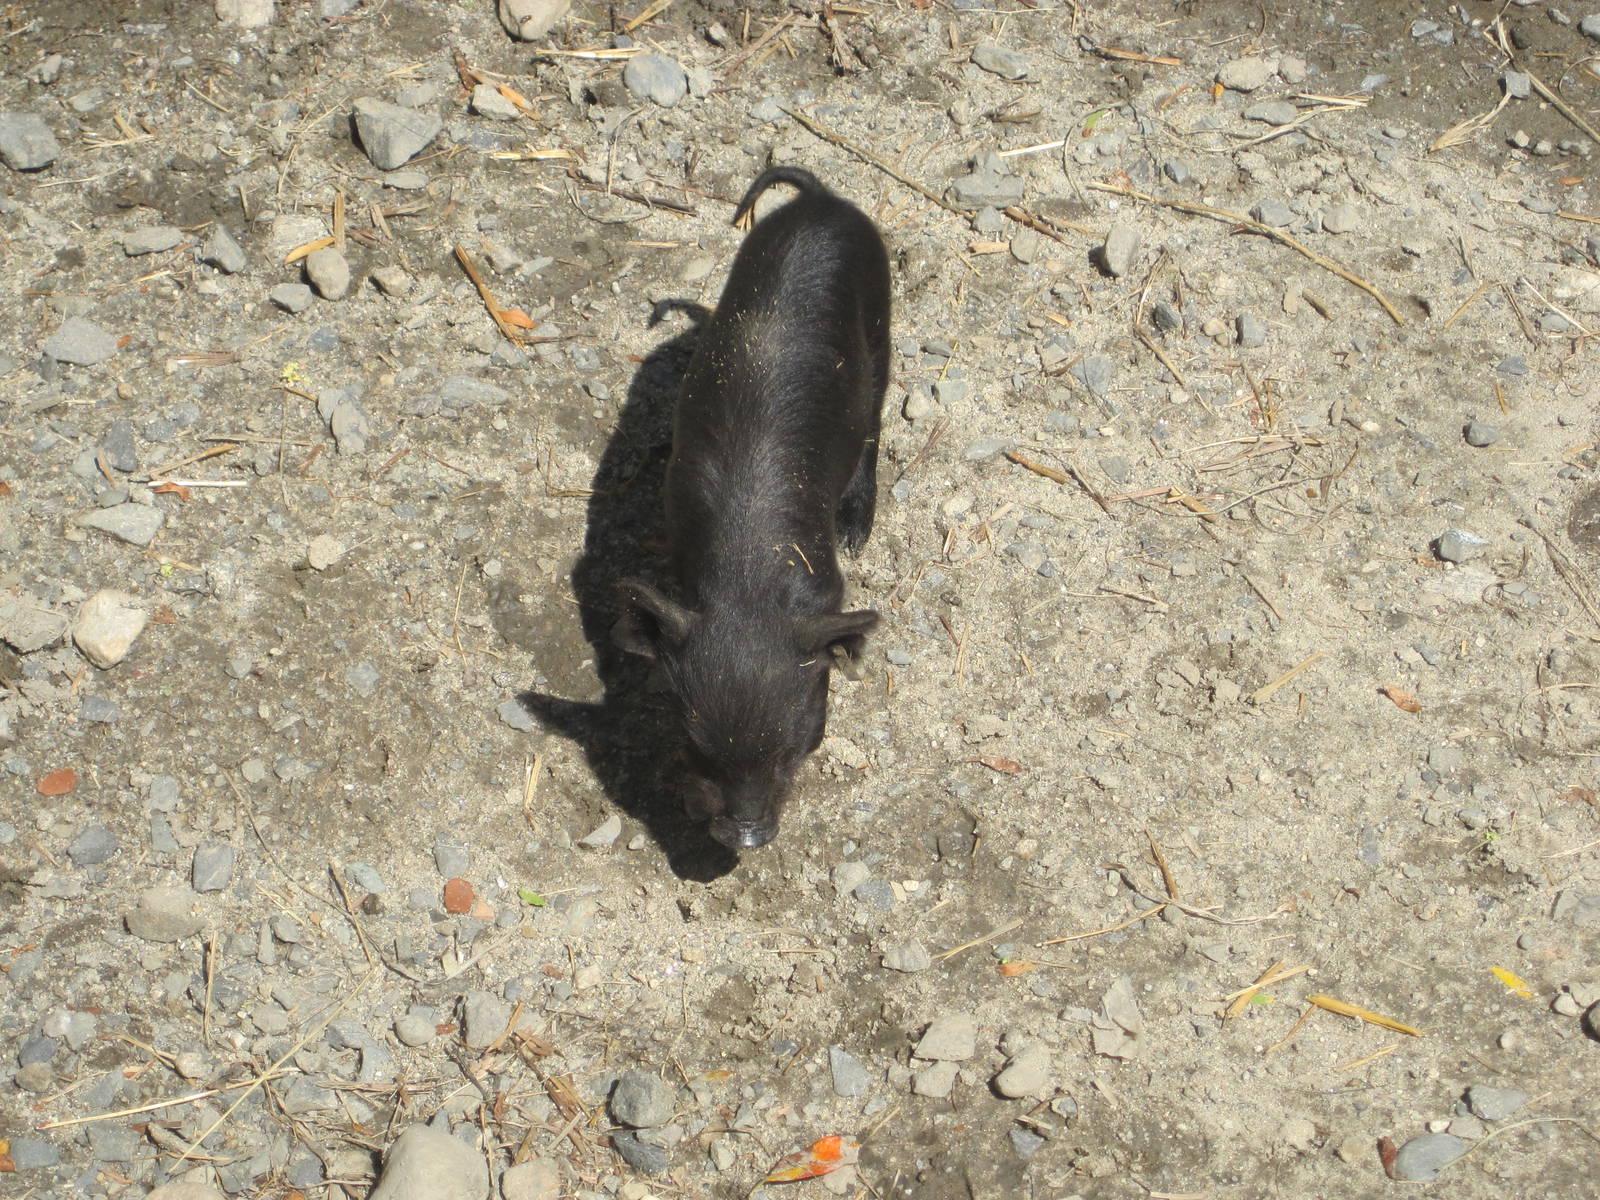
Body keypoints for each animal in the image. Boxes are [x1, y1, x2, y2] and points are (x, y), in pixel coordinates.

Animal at [614, 165, 891, 851]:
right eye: (694, 745)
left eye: (796, 746)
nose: (745, 838)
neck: (748, 578)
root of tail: (822, 200)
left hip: (881, 318)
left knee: (875, 420)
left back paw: (858, 531)